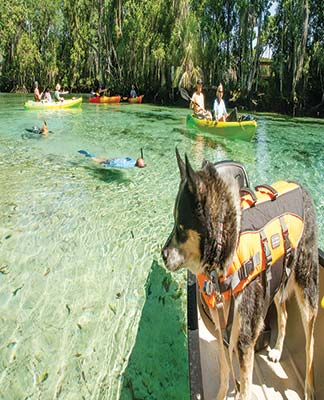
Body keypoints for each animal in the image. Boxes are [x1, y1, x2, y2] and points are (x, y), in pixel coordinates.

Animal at [162, 150, 318, 400]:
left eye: (181, 227)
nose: (162, 255)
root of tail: (301, 187)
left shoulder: (245, 338)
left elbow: (244, 387)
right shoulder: (221, 328)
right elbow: (226, 370)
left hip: (306, 286)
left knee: (310, 341)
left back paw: (309, 387)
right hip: (276, 280)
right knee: (284, 314)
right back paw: (277, 350)